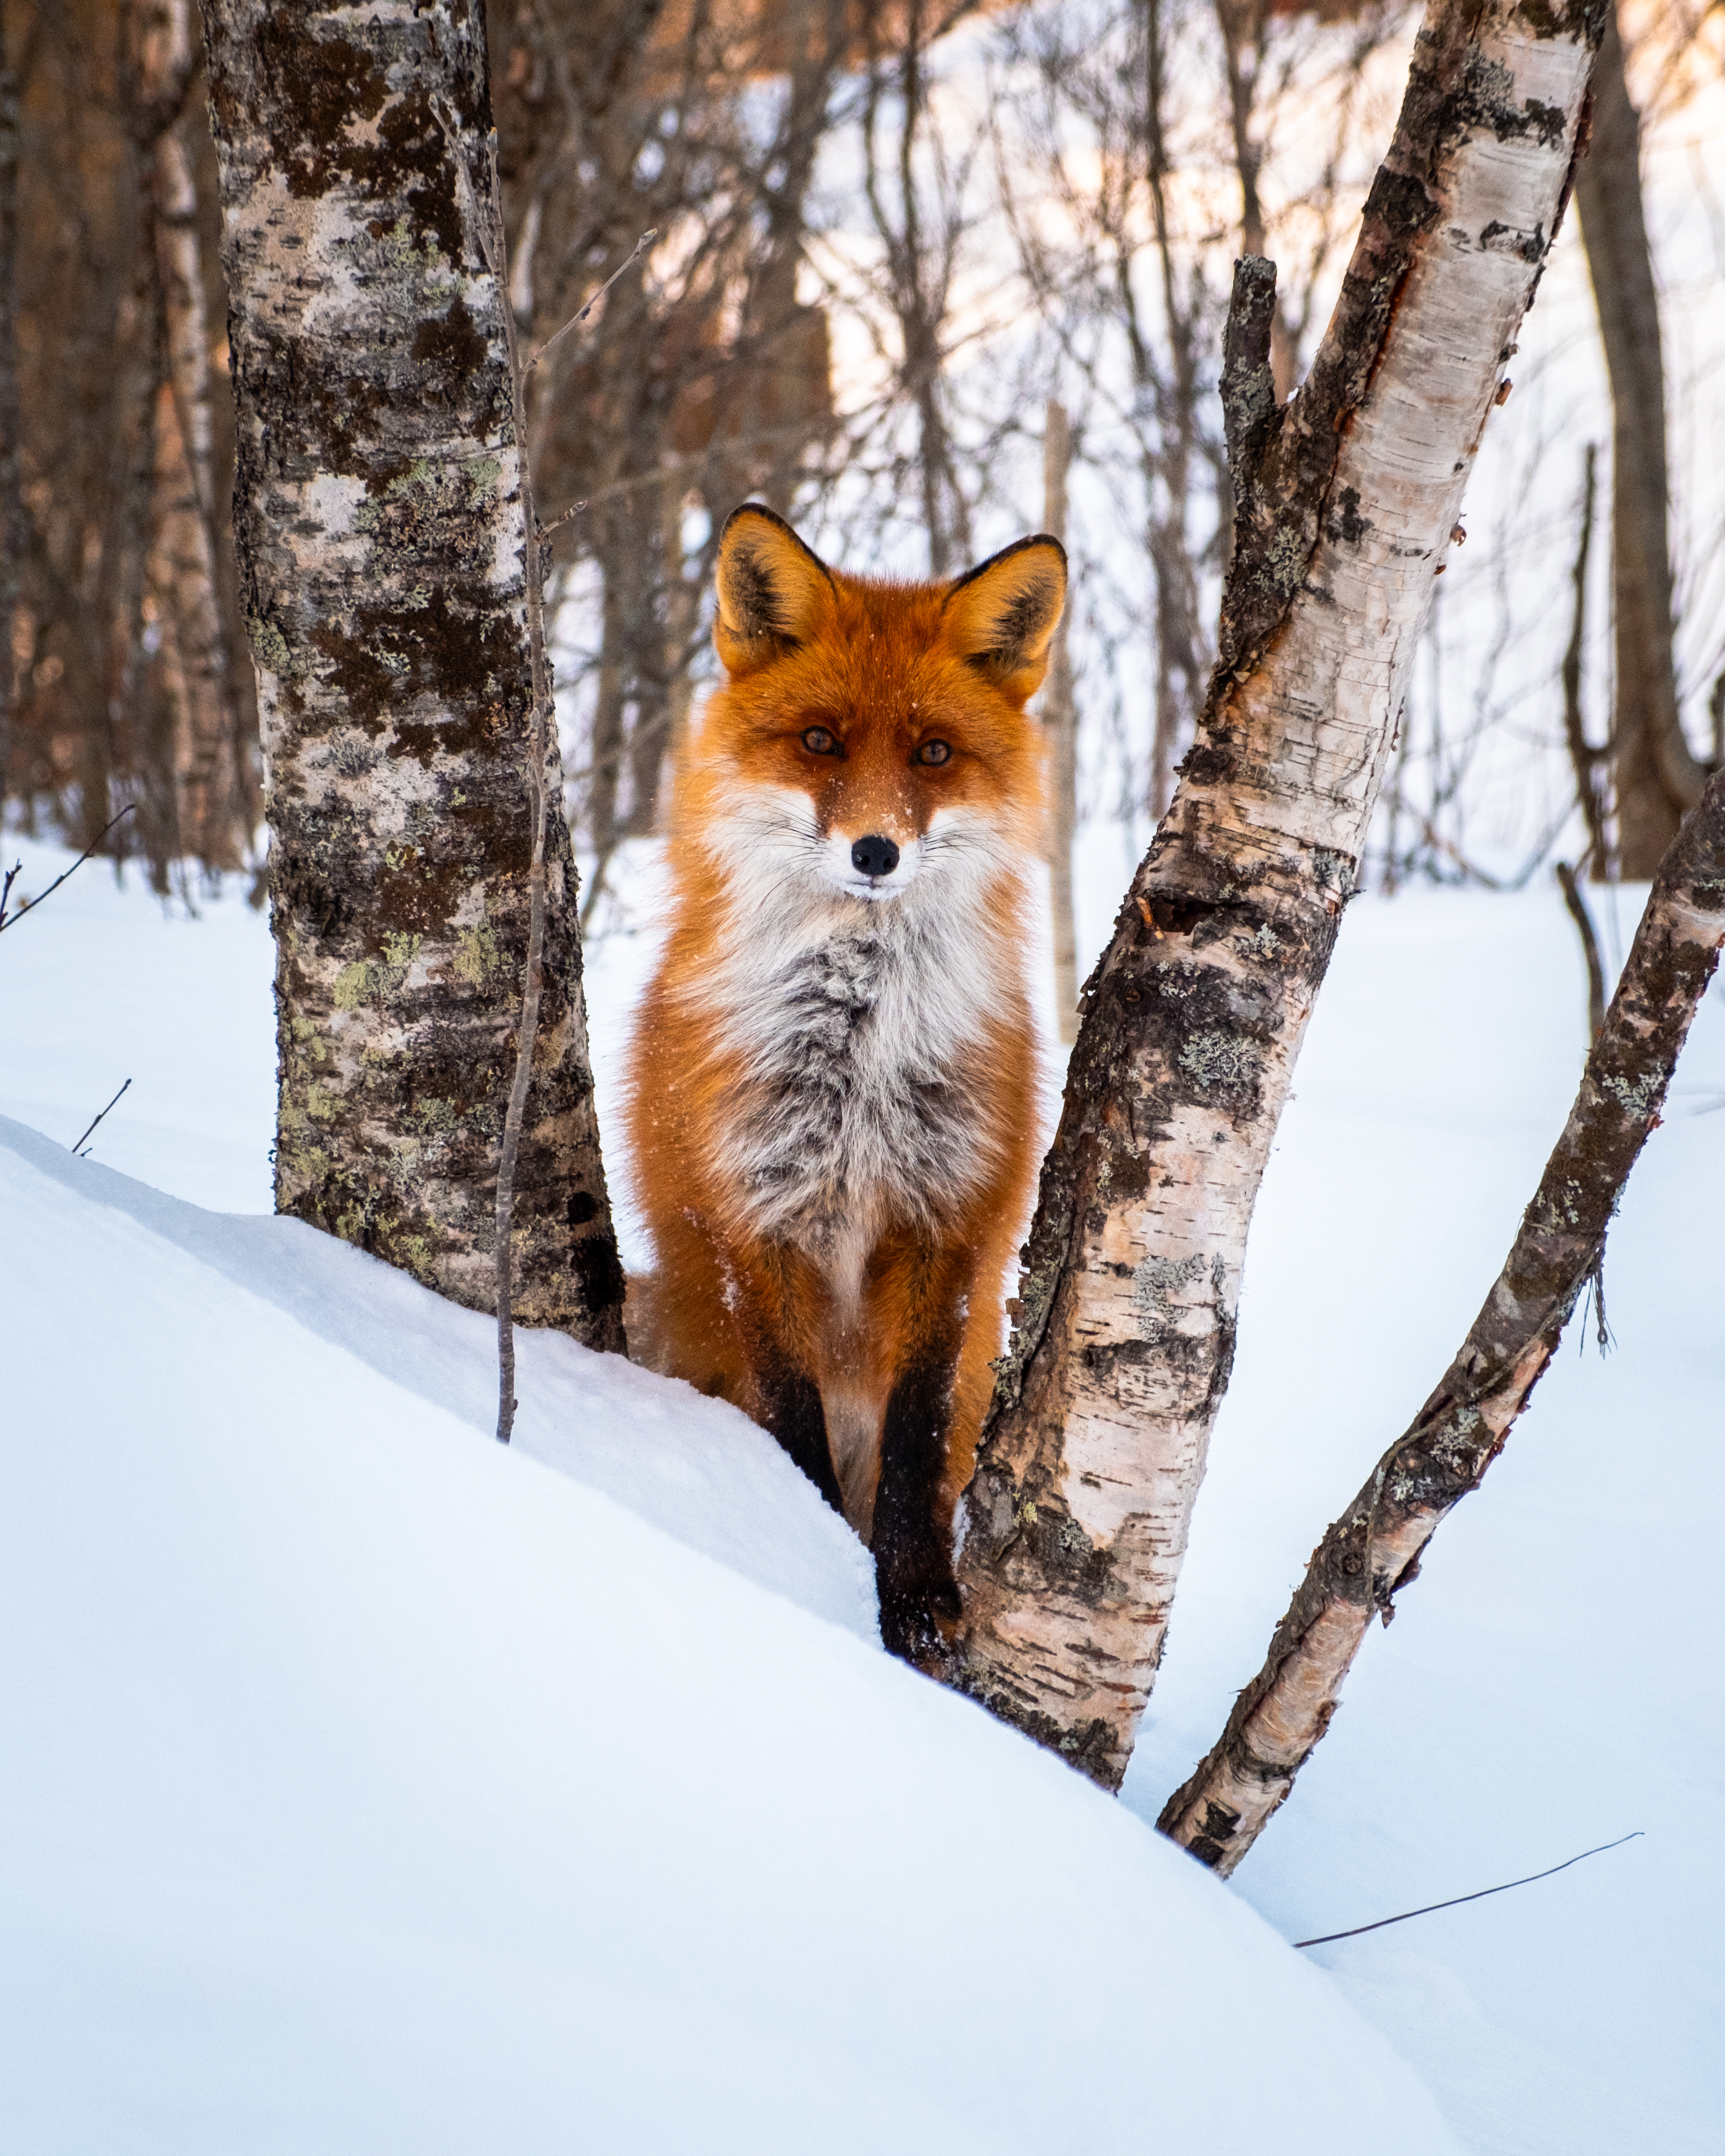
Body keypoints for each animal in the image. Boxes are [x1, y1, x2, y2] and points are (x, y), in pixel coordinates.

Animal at [623, 502, 1065, 1659]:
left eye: (933, 753)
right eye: (819, 741)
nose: (874, 853)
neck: (856, 1052)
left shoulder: (949, 1216)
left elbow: (915, 1439)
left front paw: (914, 1601)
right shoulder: (751, 1217)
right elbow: (791, 1426)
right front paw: (811, 1567)